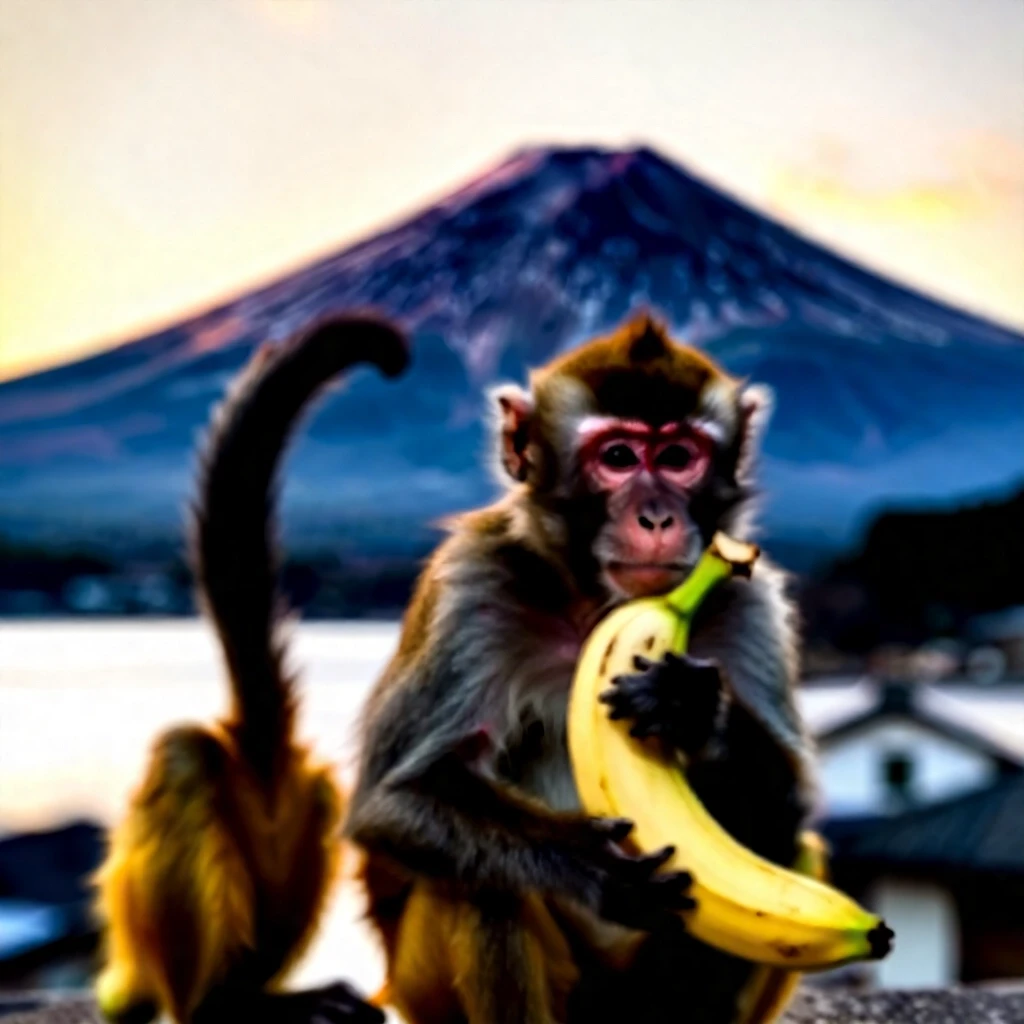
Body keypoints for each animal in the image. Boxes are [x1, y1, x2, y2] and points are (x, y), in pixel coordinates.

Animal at [344, 312, 814, 1024]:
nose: (657, 516)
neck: (598, 606)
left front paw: (693, 708)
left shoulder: (751, 606)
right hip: (427, 987)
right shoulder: (472, 588)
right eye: (618, 458)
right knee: (487, 883)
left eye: (678, 458)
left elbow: (790, 794)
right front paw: (592, 865)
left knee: (784, 842)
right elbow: (396, 798)